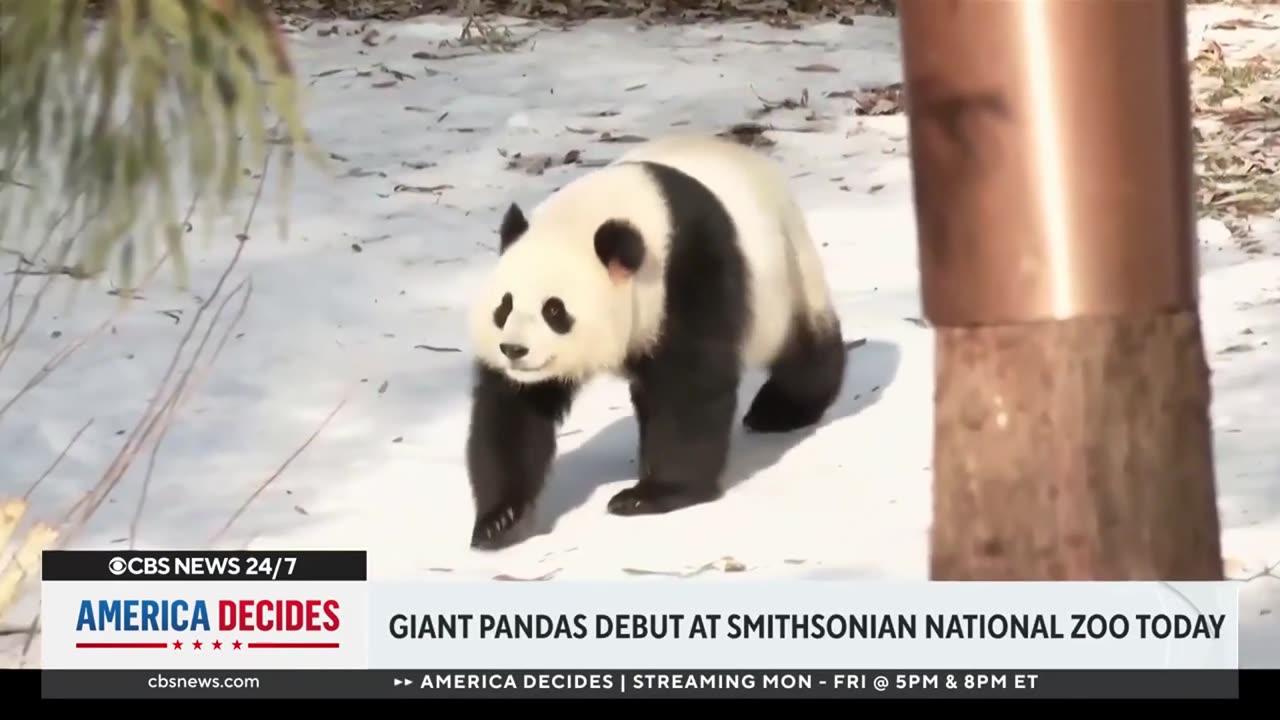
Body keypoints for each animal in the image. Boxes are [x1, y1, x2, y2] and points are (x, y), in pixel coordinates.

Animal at [465, 131, 844, 545]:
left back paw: (779, 410)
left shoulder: (690, 268)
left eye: (554, 310)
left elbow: (689, 386)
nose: (514, 350)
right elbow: (512, 413)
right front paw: (500, 519)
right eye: (504, 306)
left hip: (785, 275)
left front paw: (650, 495)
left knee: (804, 347)